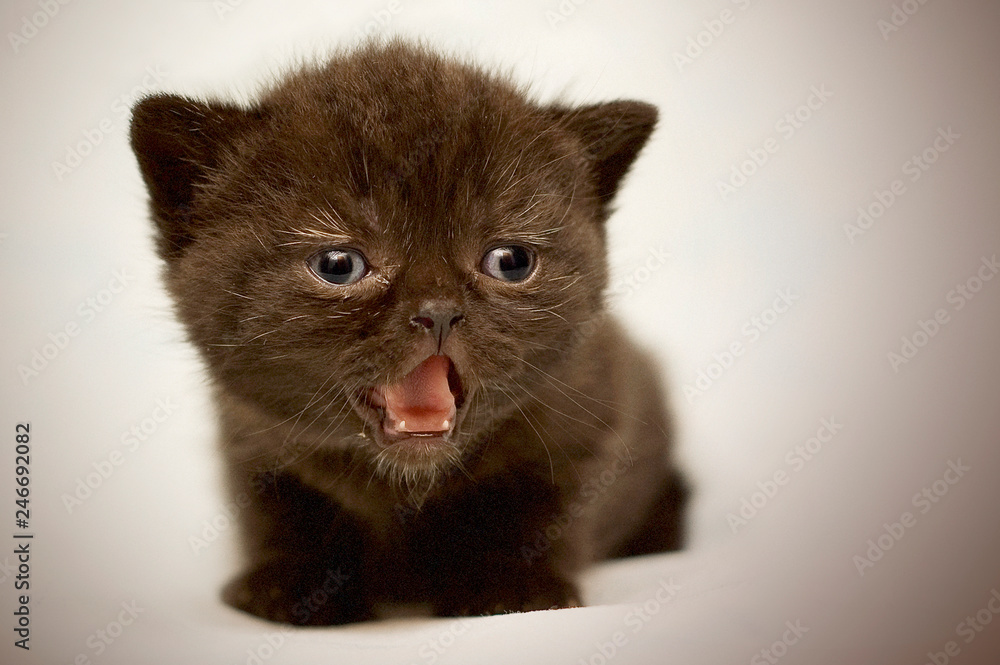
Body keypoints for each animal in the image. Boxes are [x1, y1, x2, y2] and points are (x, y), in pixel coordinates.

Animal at [131, 41, 688, 624]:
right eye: (338, 265)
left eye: (511, 261)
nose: (438, 312)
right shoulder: (250, 435)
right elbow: (278, 508)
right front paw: (293, 586)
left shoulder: (587, 410)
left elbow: (547, 501)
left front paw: (513, 586)